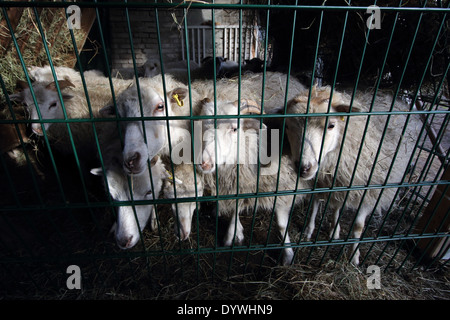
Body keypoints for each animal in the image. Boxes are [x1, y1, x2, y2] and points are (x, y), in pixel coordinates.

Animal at [199, 97, 312, 264]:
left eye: (234, 129)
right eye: (201, 126)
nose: (204, 163)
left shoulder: (283, 191)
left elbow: (282, 224)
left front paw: (288, 255)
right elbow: (234, 209)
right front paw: (233, 234)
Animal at [286, 85, 420, 264]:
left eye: (331, 125)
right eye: (288, 126)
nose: (304, 168)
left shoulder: (368, 190)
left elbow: (358, 226)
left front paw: (354, 256)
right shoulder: (322, 182)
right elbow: (315, 205)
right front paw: (309, 231)